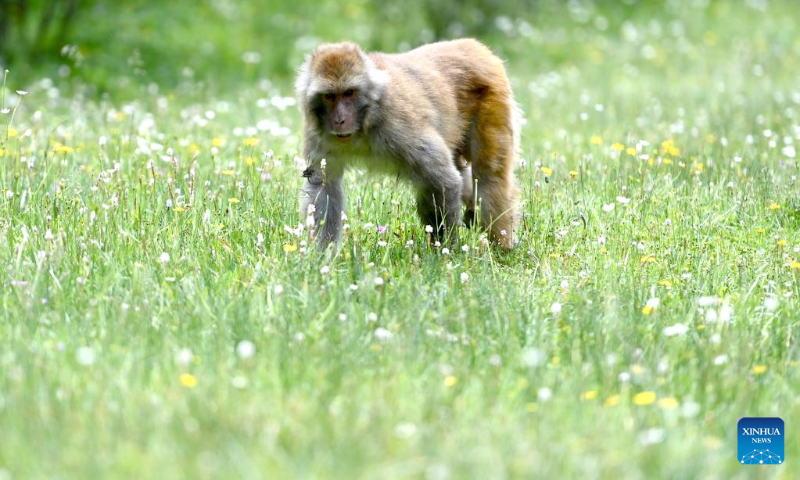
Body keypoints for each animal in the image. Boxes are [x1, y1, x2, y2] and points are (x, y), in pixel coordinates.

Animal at [296, 37, 520, 251]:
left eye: (349, 92)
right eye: (329, 96)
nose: (340, 120)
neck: (365, 122)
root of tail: (475, 47)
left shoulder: (399, 125)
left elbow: (443, 181)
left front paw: (445, 250)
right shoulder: (317, 135)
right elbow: (324, 185)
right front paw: (324, 255)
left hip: (493, 100)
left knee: (489, 175)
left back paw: (502, 249)